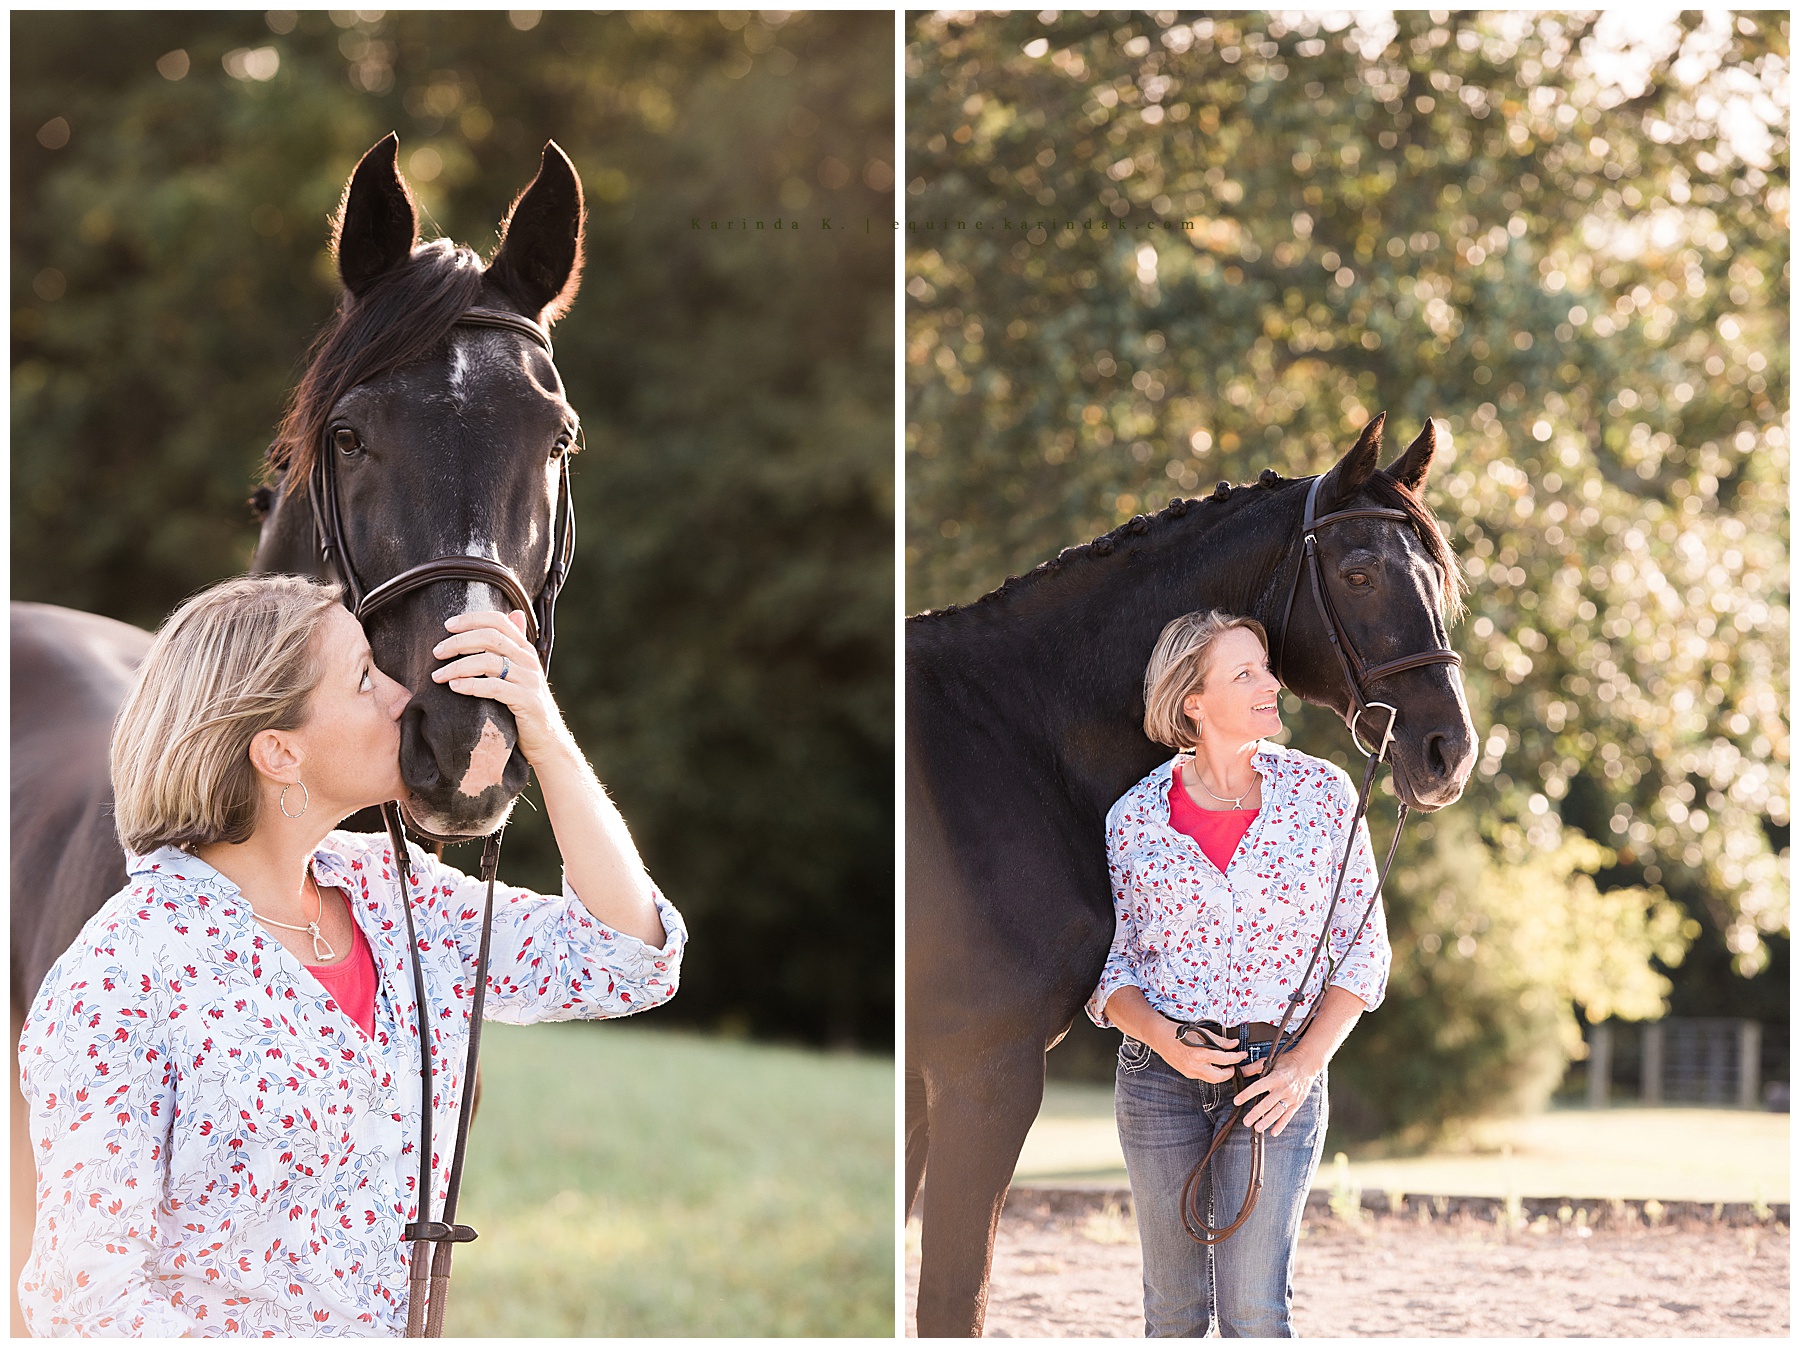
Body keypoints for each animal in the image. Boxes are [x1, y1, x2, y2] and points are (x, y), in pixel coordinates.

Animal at [904, 414, 1478, 1336]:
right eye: (1359, 574)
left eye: (1437, 578)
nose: (1448, 752)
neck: (1010, 735)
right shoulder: (979, 1071)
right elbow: (956, 1300)